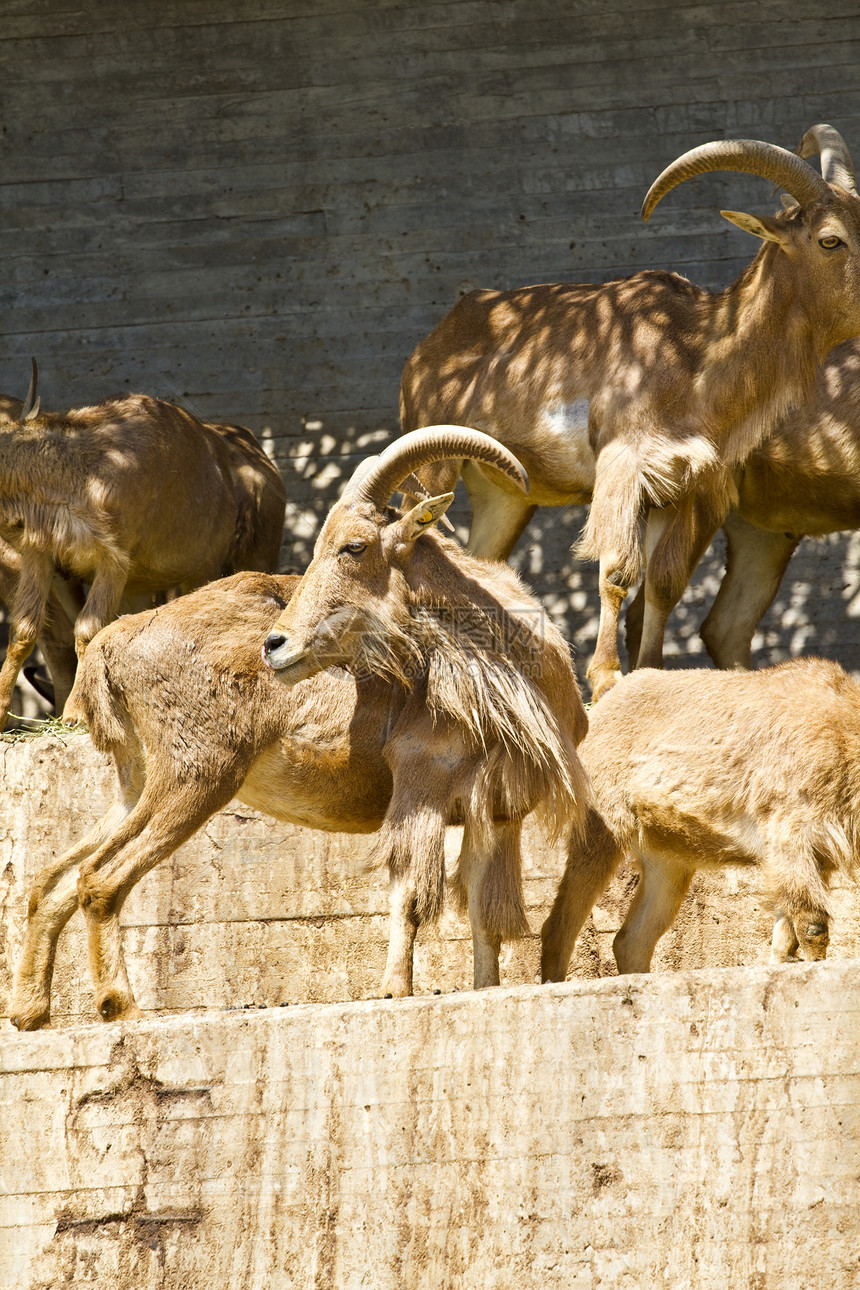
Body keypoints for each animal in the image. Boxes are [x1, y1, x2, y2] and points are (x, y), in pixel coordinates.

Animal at [0, 379, 286, 727]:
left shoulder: (113, 559)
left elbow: (87, 630)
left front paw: (75, 712)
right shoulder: (41, 555)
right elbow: (24, 631)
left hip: (217, 569)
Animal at [11, 428, 593, 1032]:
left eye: (354, 547)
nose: (276, 644)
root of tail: (111, 646)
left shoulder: (496, 812)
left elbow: (483, 911)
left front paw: (485, 988)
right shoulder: (420, 783)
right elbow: (410, 893)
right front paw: (394, 990)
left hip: (138, 783)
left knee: (53, 881)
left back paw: (31, 1010)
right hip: (197, 778)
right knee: (100, 880)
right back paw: (119, 1005)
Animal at [402, 125, 860, 701]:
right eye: (830, 239)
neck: (696, 357)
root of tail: (429, 346)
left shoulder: (689, 486)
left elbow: (662, 585)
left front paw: (650, 672)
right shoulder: (624, 466)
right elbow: (618, 572)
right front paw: (605, 678)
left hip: (503, 495)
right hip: (430, 463)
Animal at [538, 660, 860, 980]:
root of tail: (605, 697)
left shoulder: (816, 855)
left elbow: (785, 938)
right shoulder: (789, 831)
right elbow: (811, 925)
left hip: (669, 861)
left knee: (631, 940)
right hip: (602, 829)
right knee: (558, 927)